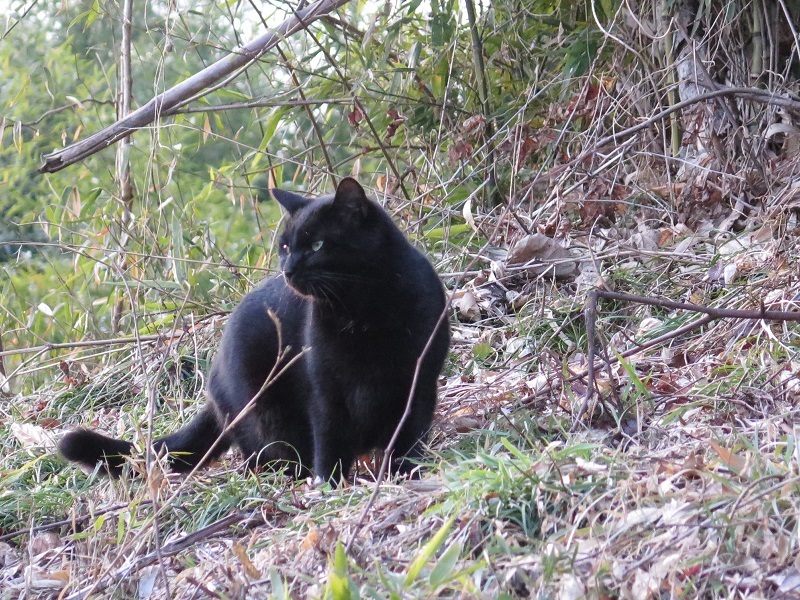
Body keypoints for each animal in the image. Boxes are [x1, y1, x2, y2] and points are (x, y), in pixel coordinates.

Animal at [57, 177, 450, 482]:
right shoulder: (325, 390)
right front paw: (328, 485)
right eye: (286, 247)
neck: (361, 310)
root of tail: (214, 378)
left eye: (318, 245)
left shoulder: (419, 382)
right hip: (264, 417)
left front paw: (404, 473)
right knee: (262, 456)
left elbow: (409, 436)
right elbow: (330, 440)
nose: (288, 269)